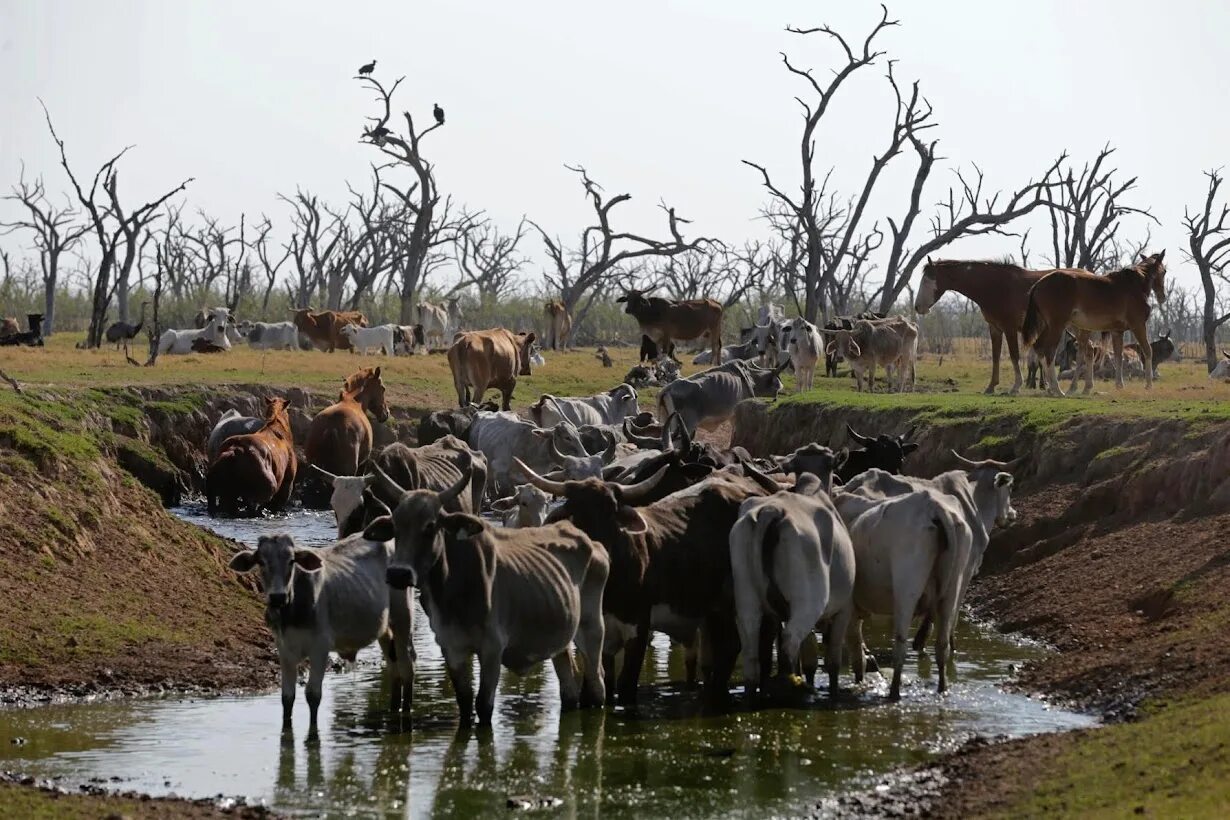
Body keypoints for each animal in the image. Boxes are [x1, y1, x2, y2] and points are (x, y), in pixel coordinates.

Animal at [231, 533, 418, 737]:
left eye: (291, 561)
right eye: (261, 561)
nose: (277, 596)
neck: (292, 613)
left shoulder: (320, 647)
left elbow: (313, 694)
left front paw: (313, 734)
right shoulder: (284, 648)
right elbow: (287, 697)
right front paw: (286, 730)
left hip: (403, 617)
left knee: (406, 667)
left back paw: (405, 712)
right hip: (384, 629)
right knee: (394, 670)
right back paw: (393, 710)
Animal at [366, 464, 612, 727]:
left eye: (430, 526)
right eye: (395, 526)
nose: (398, 574)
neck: (454, 590)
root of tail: (591, 542)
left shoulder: (492, 649)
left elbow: (483, 705)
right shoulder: (451, 648)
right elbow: (465, 702)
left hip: (591, 629)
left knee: (597, 683)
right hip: (561, 638)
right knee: (569, 689)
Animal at [654, 358, 787, 435]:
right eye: (776, 384)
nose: (776, 398)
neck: (750, 377)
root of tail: (668, 388)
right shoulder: (735, 417)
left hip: (668, 422)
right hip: (686, 425)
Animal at [920, 258, 1062, 395]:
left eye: (926, 281)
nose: (917, 307)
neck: (995, 286)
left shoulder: (1009, 328)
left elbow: (1014, 355)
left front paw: (1016, 387)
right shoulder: (995, 328)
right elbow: (995, 356)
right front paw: (991, 386)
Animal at [1023, 252, 1166, 395]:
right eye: (1164, 271)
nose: (1162, 297)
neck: (1133, 285)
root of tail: (1038, 284)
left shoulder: (1117, 331)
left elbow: (1118, 356)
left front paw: (1119, 385)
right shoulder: (1138, 326)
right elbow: (1148, 350)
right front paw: (1148, 385)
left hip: (1050, 326)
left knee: (1039, 347)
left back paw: (1051, 388)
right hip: (1057, 326)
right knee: (1049, 351)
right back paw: (1057, 389)